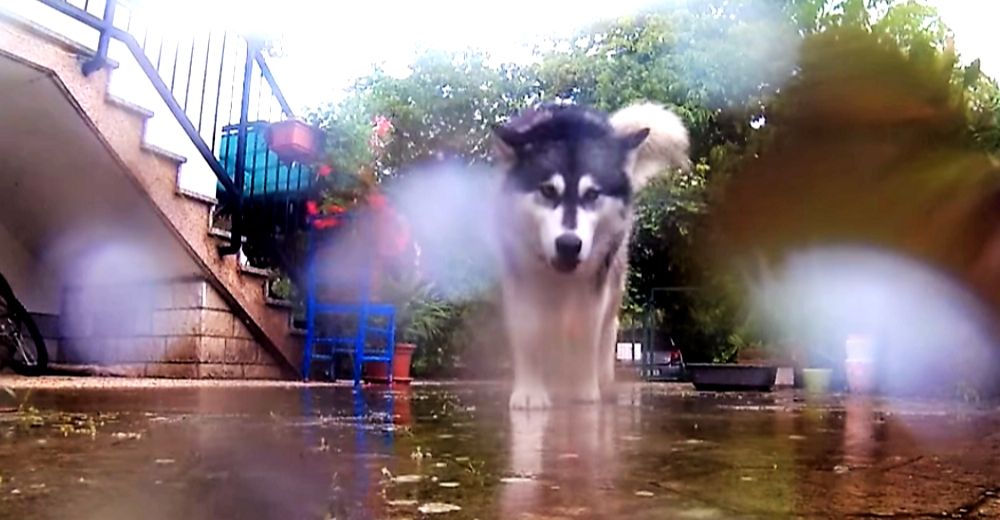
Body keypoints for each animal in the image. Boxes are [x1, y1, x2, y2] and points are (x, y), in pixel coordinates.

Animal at [492, 101, 688, 408]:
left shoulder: (593, 286)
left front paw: (583, 391)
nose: (569, 244)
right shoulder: (521, 280)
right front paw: (530, 391)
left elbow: (586, 337)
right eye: (548, 190)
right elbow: (528, 336)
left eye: (593, 194)